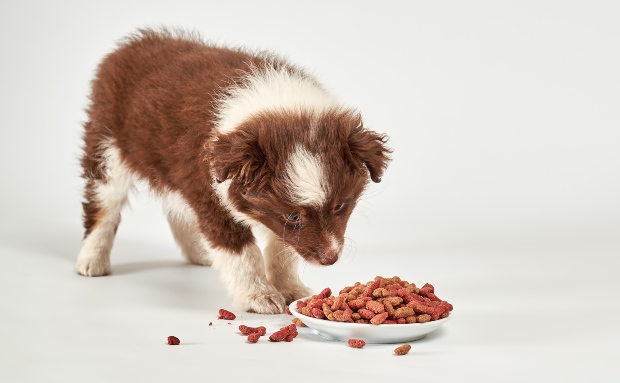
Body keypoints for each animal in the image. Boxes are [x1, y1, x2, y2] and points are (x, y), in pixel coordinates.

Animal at [75, 28, 390, 314]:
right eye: (293, 216)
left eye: (340, 205)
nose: (330, 259)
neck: (275, 105)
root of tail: (131, 45)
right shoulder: (210, 191)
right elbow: (241, 251)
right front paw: (259, 296)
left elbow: (283, 248)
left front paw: (290, 290)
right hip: (107, 147)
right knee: (103, 205)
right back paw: (92, 260)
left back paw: (198, 253)